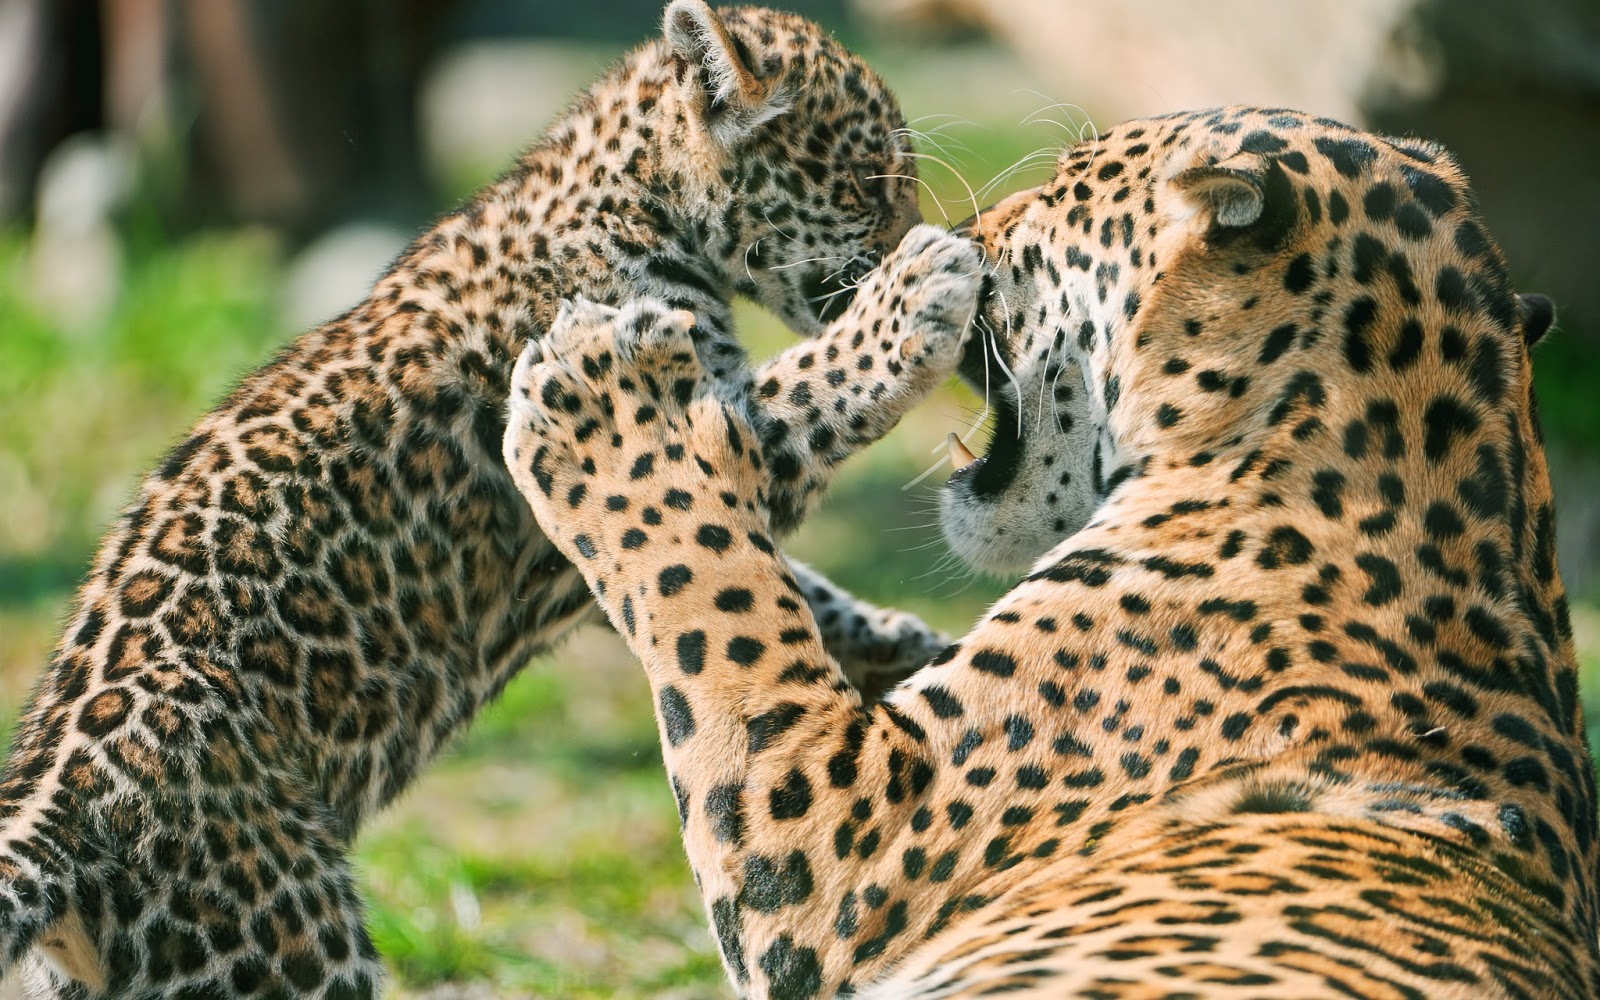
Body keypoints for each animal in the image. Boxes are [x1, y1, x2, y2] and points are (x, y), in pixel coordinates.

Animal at [0, 5, 985, 992]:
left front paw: (897, 642)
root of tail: (56, 817)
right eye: (870, 181)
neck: (629, 196)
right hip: (290, 945)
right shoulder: (692, 424)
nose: (930, 233)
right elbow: (807, 394)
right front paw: (916, 296)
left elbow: (747, 575)